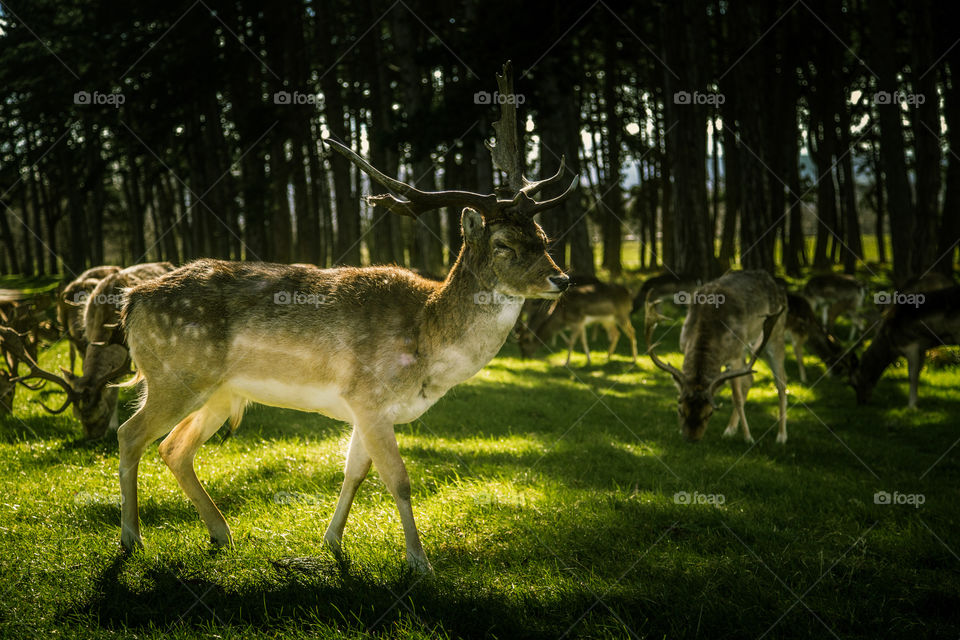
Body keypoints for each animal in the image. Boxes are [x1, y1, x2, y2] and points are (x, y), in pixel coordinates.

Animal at [113, 63, 576, 576]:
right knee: (129, 435)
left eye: (544, 237)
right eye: (504, 245)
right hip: (175, 375)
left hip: (220, 391)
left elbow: (355, 472)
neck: (427, 345)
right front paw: (420, 562)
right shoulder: (369, 397)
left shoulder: (363, 407)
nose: (562, 279)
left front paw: (332, 541)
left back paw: (221, 534)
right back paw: (132, 539)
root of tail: (131, 301)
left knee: (173, 447)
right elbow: (398, 479)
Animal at [644, 270, 788, 444]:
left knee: (781, 382)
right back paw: (730, 430)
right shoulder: (684, 346)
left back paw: (781, 436)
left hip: (775, 333)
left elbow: (736, 397)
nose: (691, 439)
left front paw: (748, 438)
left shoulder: (735, 355)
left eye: (710, 413)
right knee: (750, 379)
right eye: (680, 410)